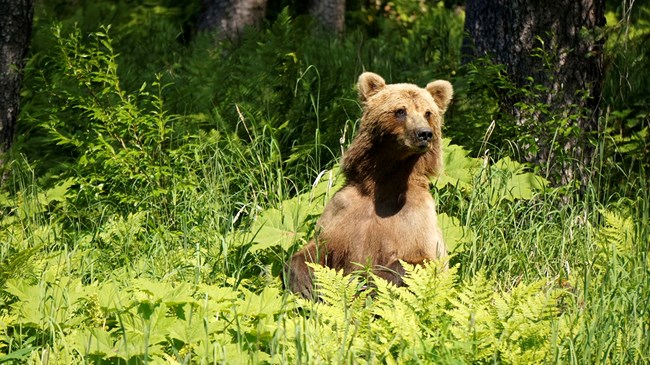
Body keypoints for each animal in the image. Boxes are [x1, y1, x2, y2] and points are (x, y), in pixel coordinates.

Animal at [284, 72, 450, 298]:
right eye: (400, 110)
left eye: (428, 113)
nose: (424, 134)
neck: (384, 184)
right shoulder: (344, 210)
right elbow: (316, 248)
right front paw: (305, 285)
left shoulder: (416, 217)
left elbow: (420, 261)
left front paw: (367, 280)